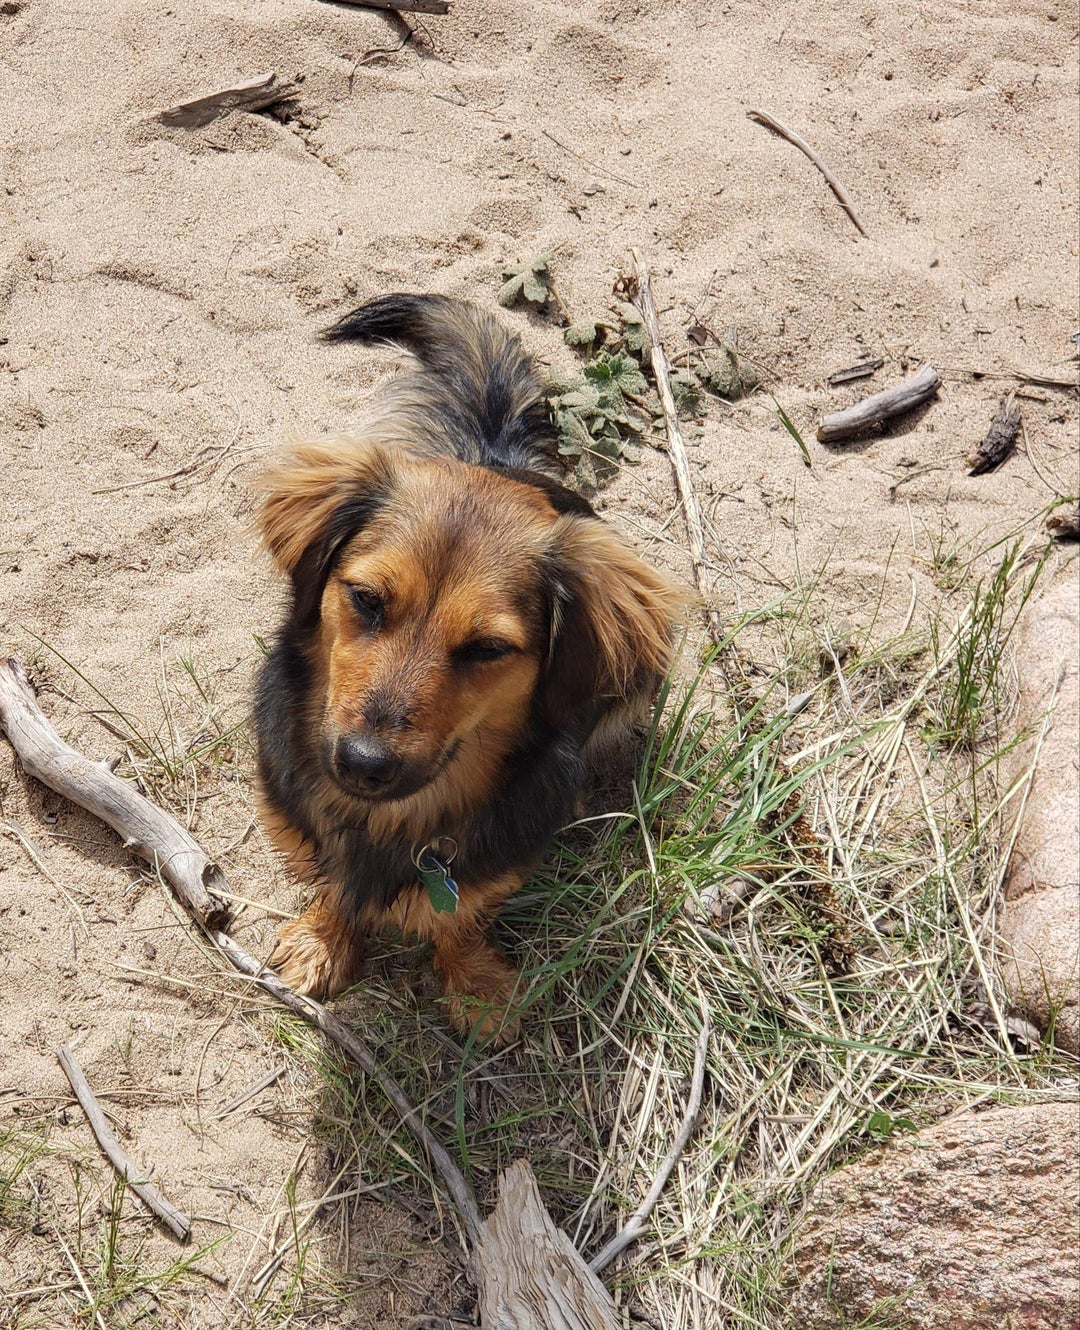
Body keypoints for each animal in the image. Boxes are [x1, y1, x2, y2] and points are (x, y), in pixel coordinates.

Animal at [252, 293, 680, 1037]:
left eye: (487, 648)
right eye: (366, 599)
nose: (363, 763)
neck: (393, 821)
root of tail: (492, 453)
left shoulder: (497, 861)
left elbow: (460, 915)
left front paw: (475, 985)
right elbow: (335, 880)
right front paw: (323, 939)